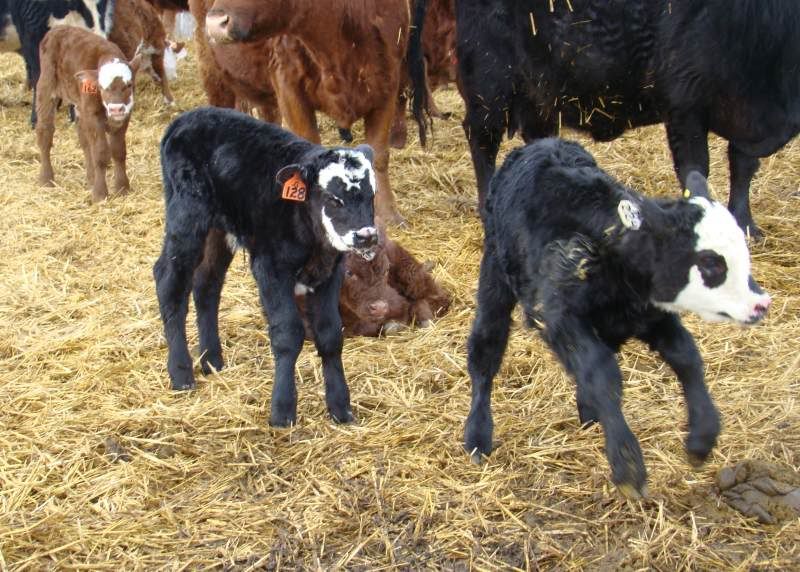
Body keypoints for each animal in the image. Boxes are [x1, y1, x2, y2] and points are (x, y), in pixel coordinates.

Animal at [36, 26, 141, 202]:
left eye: (129, 85)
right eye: (102, 87)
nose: (116, 109)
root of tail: (58, 28)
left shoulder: (125, 115)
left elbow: (118, 151)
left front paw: (122, 188)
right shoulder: (93, 115)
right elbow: (100, 152)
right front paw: (100, 194)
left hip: (79, 106)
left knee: (84, 140)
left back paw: (91, 178)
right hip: (46, 87)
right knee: (45, 132)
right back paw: (46, 179)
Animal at [154, 106, 379, 427]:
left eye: (372, 195)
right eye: (332, 198)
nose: (366, 236)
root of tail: (187, 117)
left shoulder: (330, 271)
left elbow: (330, 334)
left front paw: (340, 407)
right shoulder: (271, 267)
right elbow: (287, 333)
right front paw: (282, 411)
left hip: (219, 230)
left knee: (206, 284)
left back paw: (212, 360)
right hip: (186, 216)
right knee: (169, 281)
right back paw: (181, 372)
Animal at [203, 0, 430, 225]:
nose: (215, 22)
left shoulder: (387, 85)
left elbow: (380, 156)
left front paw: (389, 214)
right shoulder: (288, 87)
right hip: (214, 73)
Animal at [412, 0, 800, 237]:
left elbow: (742, 168)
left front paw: (746, 225)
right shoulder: (684, 107)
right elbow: (696, 170)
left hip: (540, 92)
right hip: (489, 81)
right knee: (483, 140)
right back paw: (487, 208)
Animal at [463, 138, 771, 498]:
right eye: (710, 263)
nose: (760, 304)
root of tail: (540, 144)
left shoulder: (652, 315)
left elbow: (686, 356)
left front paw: (701, 439)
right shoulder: (559, 317)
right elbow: (602, 374)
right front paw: (627, 466)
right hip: (495, 278)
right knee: (486, 349)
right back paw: (477, 435)